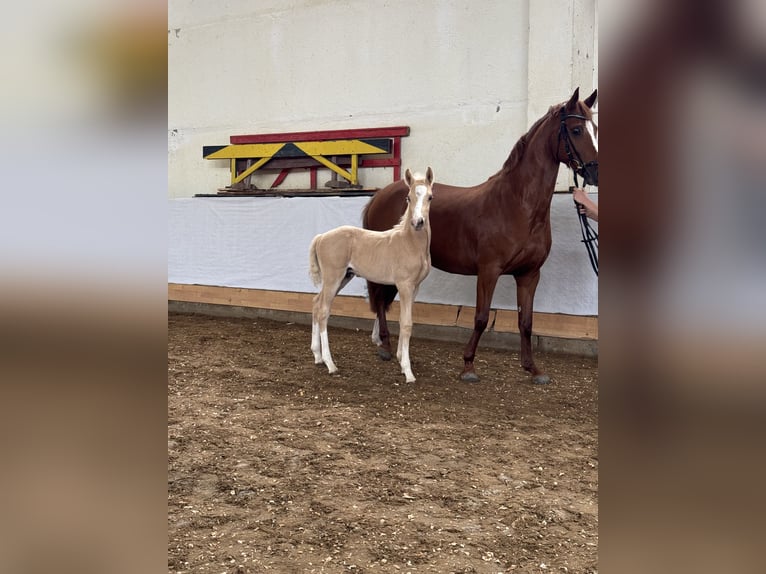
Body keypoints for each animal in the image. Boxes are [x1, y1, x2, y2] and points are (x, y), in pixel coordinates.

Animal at [308, 166, 436, 382]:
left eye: (430, 197)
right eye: (408, 197)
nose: (418, 222)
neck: (410, 243)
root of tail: (321, 237)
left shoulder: (415, 287)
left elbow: (403, 320)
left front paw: (400, 359)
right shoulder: (404, 285)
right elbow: (407, 323)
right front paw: (408, 371)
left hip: (343, 277)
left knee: (316, 305)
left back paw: (317, 356)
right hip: (333, 277)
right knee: (324, 311)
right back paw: (330, 364)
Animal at [366, 88, 600, 384]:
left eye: (595, 128)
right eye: (577, 129)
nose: (596, 172)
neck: (516, 204)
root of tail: (379, 196)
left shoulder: (529, 274)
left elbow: (526, 322)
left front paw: (533, 369)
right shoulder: (489, 271)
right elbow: (481, 317)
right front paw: (468, 366)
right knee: (378, 297)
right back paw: (385, 346)